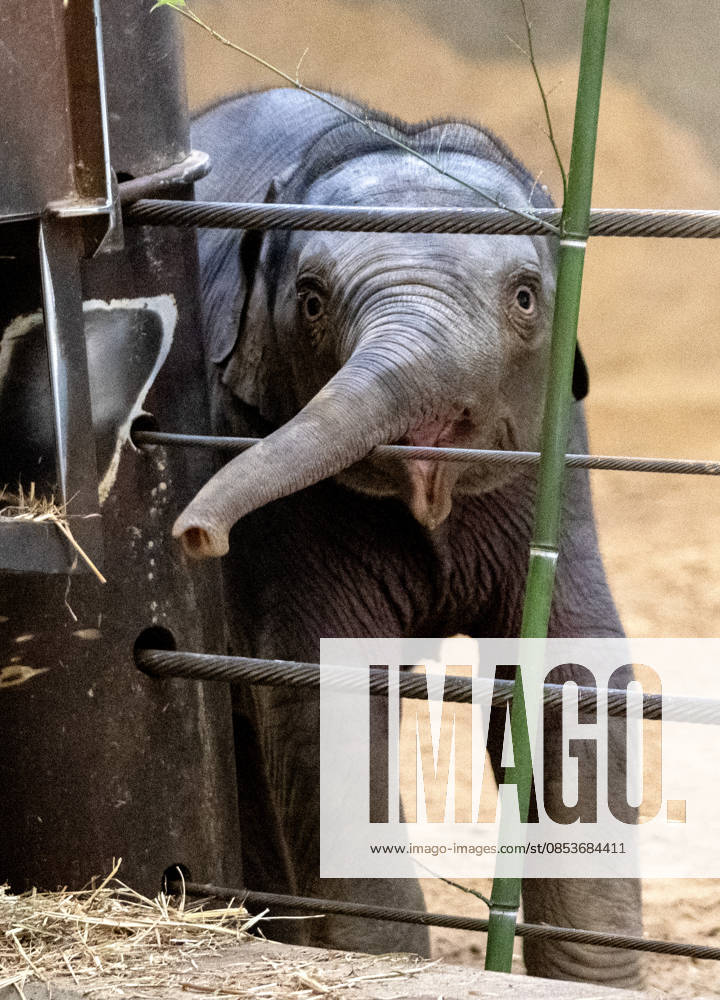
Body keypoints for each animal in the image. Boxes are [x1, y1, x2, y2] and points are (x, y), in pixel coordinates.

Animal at [173, 87, 642, 987]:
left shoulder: (555, 471)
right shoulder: (254, 457)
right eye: (311, 300)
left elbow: (576, 679)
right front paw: (382, 962)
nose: (197, 535)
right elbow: (320, 708)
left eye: (526, 297)